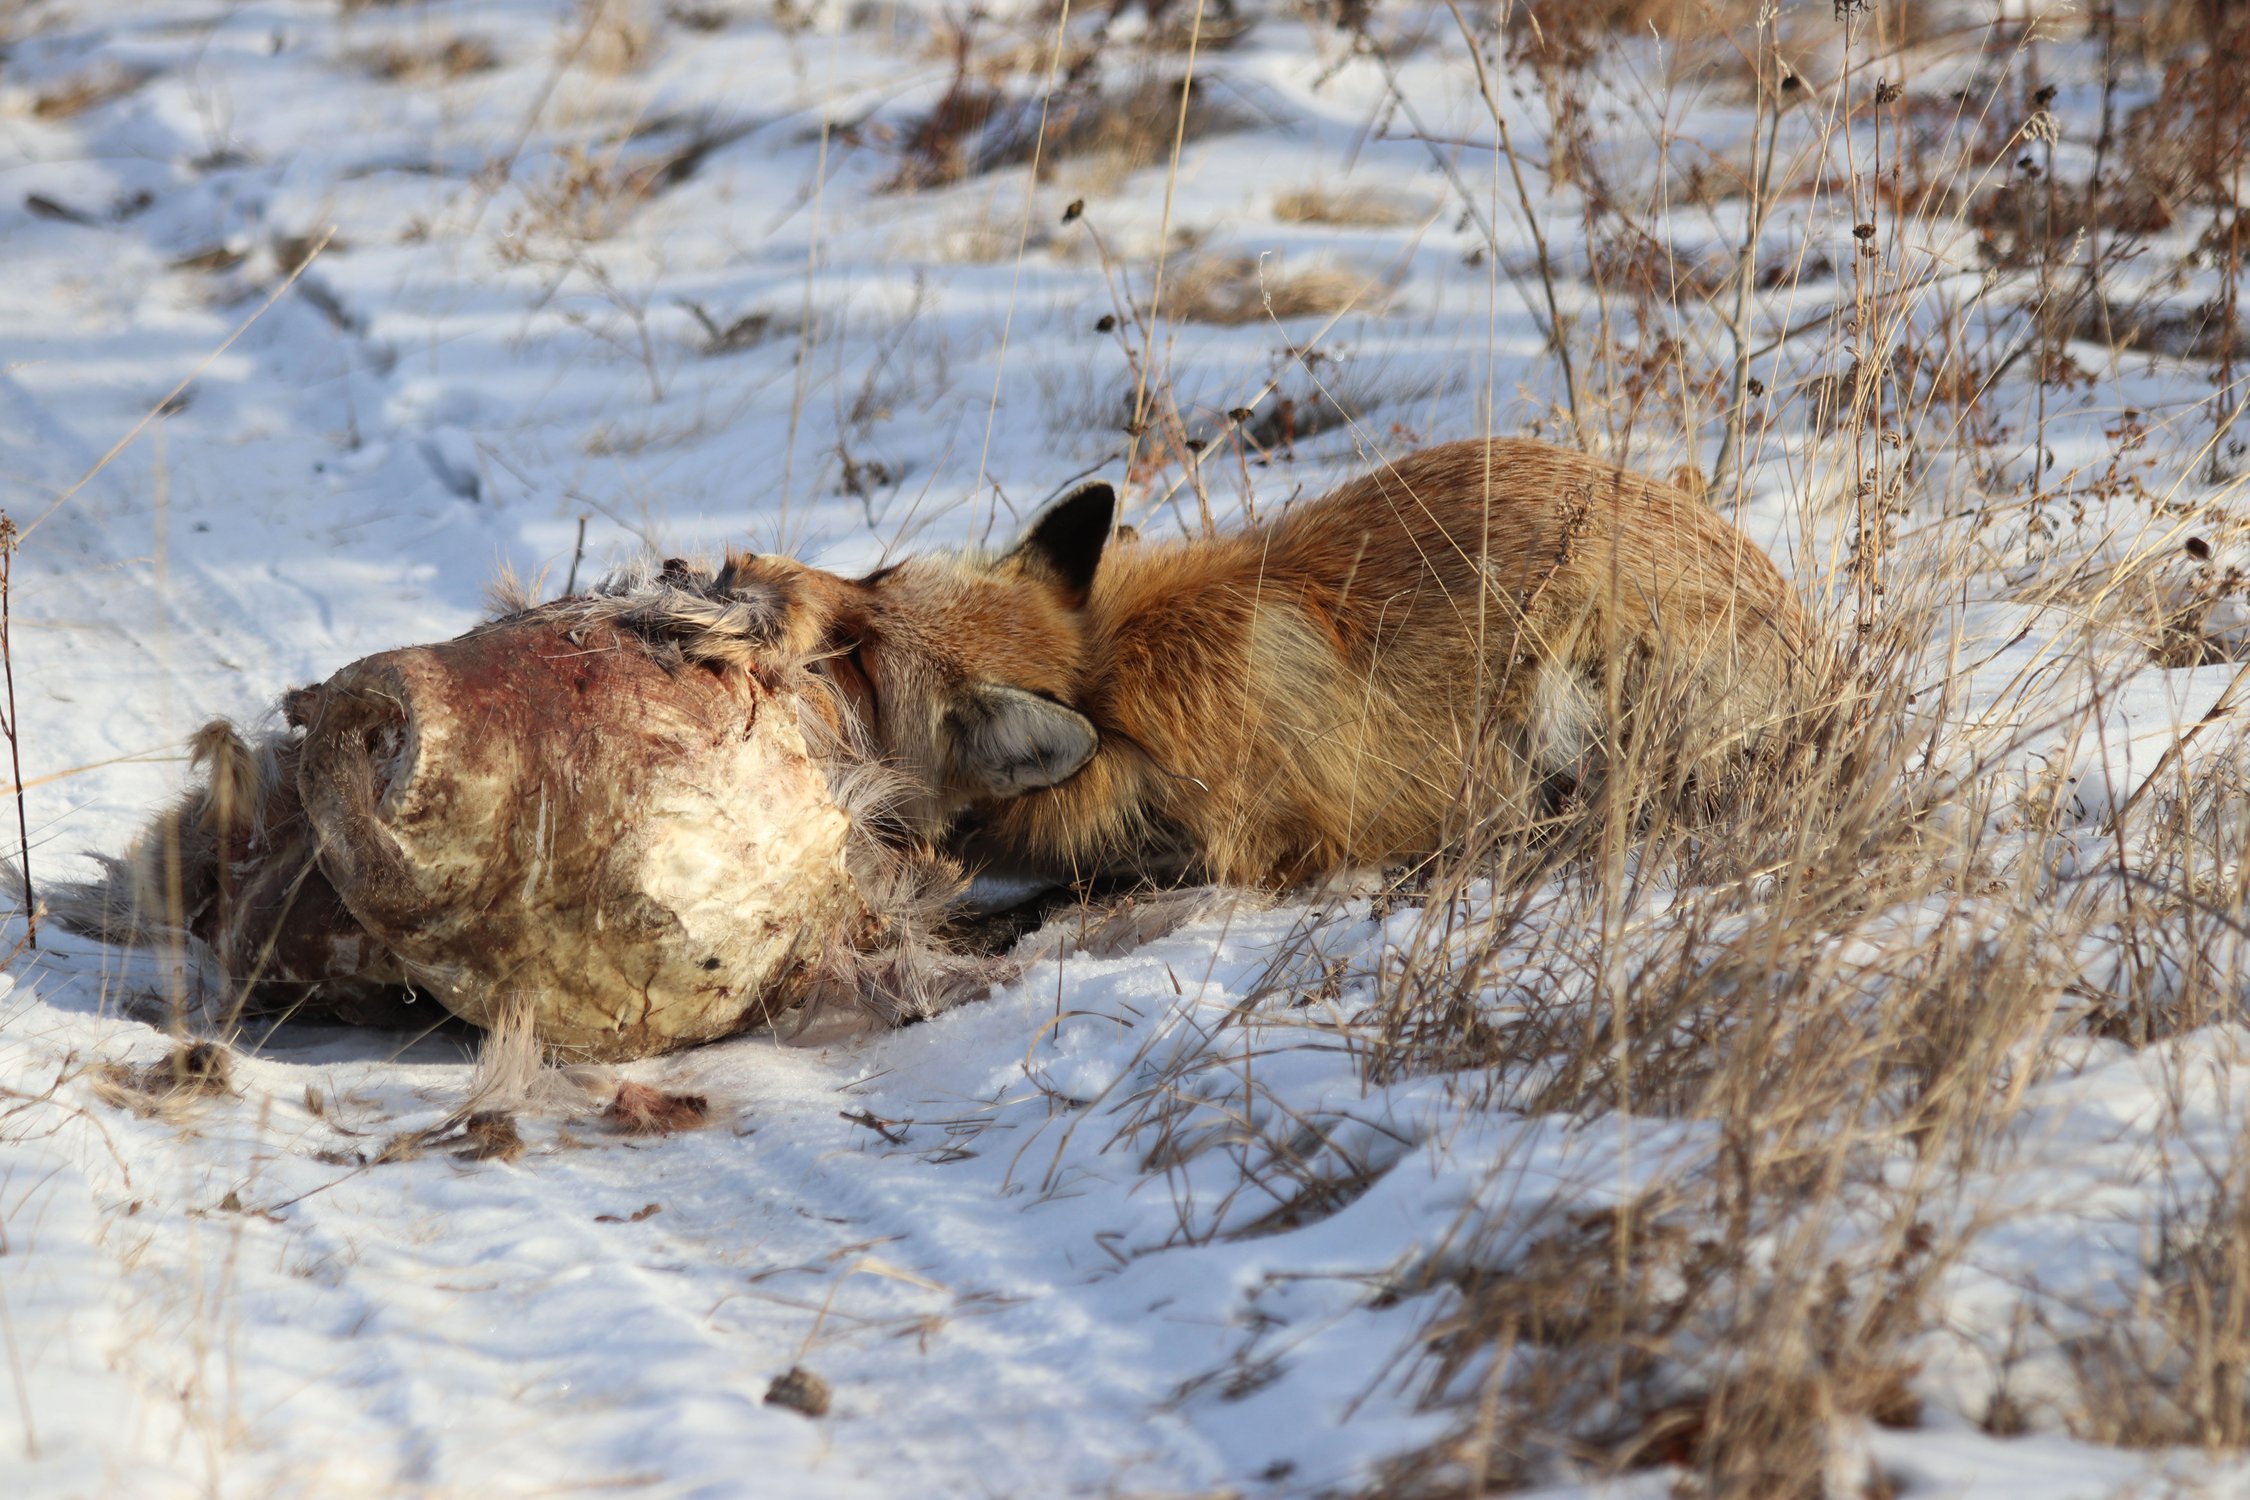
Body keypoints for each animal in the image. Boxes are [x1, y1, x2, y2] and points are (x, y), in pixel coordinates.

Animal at [738, 440, 1827, 890]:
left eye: (861, 655)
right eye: (876, 572)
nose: (743, 566)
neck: (1108, 677)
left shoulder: (1256, 841)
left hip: (1568, 693)